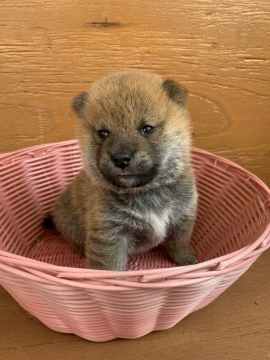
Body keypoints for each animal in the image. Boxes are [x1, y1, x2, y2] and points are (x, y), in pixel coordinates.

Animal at [45, 70, 197, 270]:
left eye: (147, 128)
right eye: (103, 133)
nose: (121, 158)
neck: (144, 192)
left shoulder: (182, 216)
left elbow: (179, 243)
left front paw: (187, 260)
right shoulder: (109, 233)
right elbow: (107, 267)